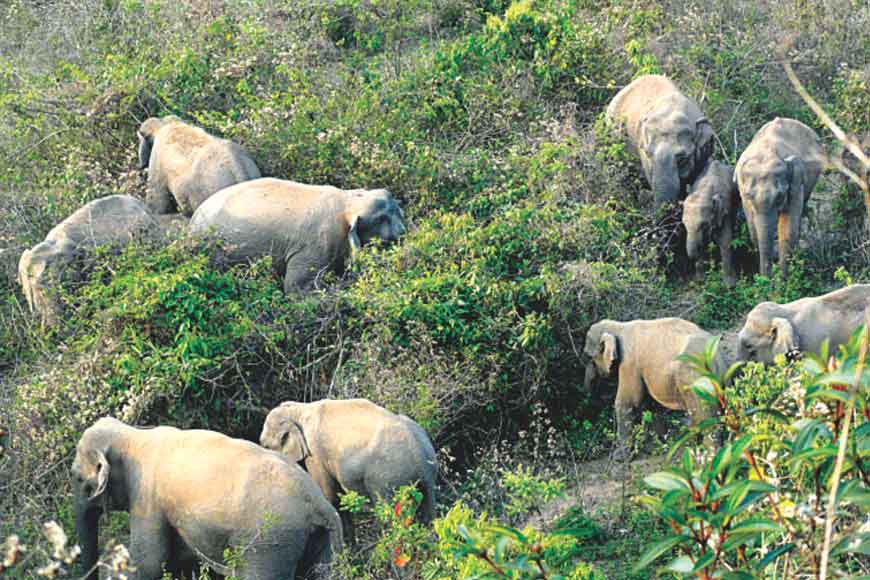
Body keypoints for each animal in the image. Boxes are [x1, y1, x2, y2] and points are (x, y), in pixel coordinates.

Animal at [73, 417, 343, 580]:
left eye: (77, 478)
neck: (132, 434)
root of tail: (320, 506)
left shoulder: (146, 496)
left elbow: (149, 561)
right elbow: (178, 561)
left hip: (271, 541)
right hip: (319, 538)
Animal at [189, 178, 406, 293]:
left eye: (398, 210)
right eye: (382, 218)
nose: (404, 232)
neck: (348, 201)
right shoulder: (316, 244)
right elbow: (296, 288)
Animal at [259, 399, 438, 542]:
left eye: (265, 445)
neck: (299, 409)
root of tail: (419, 452)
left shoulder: (316, 453)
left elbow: (329, 495)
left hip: (387, 475)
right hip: (426, 476)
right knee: (429, 510)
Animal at [583, 318, 725, 459]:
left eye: (589, 356)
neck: (619, 326)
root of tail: (714, 357)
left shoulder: (629, 362)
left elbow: (628, 401)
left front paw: (618, 458)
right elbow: (652, 404)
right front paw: (662, 444)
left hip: (694, 380)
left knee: (703, 416)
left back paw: (710, 454)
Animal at [734, 117, 823, 277]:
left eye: (780, 196)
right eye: (749, 196)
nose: (765, 279)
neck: (766, 154)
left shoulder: (796, 183)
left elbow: (788, 229)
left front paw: (782, 279)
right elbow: (753, 230)